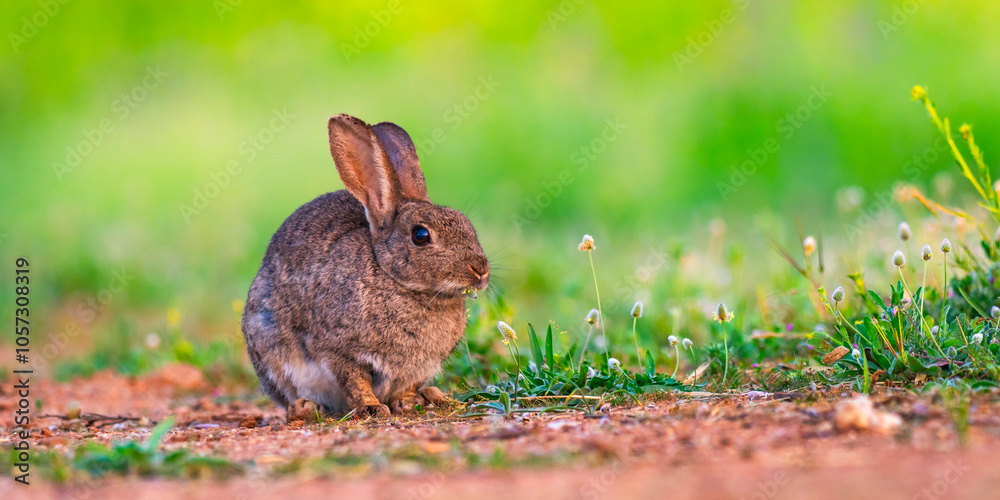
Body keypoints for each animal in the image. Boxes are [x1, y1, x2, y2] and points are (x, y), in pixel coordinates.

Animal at [241, 114, 490, 419]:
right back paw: (305, 408)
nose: (481, 270)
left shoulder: (417, 367)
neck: (396, 281)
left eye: (466, 223)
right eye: (421, 235)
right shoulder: (338, 350)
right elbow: (355, 381)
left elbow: (404, 387)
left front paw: (407, 403)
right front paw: (372, 408)